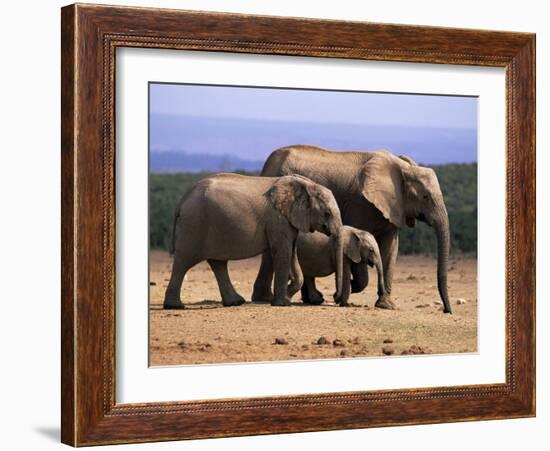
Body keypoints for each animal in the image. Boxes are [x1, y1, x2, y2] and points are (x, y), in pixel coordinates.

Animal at [164, 172, 344, 308]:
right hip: (195, 225)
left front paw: (286, 295)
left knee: (218, 263)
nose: (336, 299)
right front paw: (282, 303)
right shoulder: (277, 219)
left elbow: (292, 251)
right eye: (327, 213)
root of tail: (183, 199)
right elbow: (283, 252)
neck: (307, 185)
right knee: (184, 260)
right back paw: (175, 306)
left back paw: (235, 302)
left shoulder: (287, 220)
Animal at [252, 145, 454, 314]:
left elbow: (390, 248)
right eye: (425, 196)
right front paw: (349, 286)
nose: (446, 311)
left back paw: (310, 299)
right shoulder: (360, 203)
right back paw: (267, 298)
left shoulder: (394, 207)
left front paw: (386, 305)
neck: (402, 167)